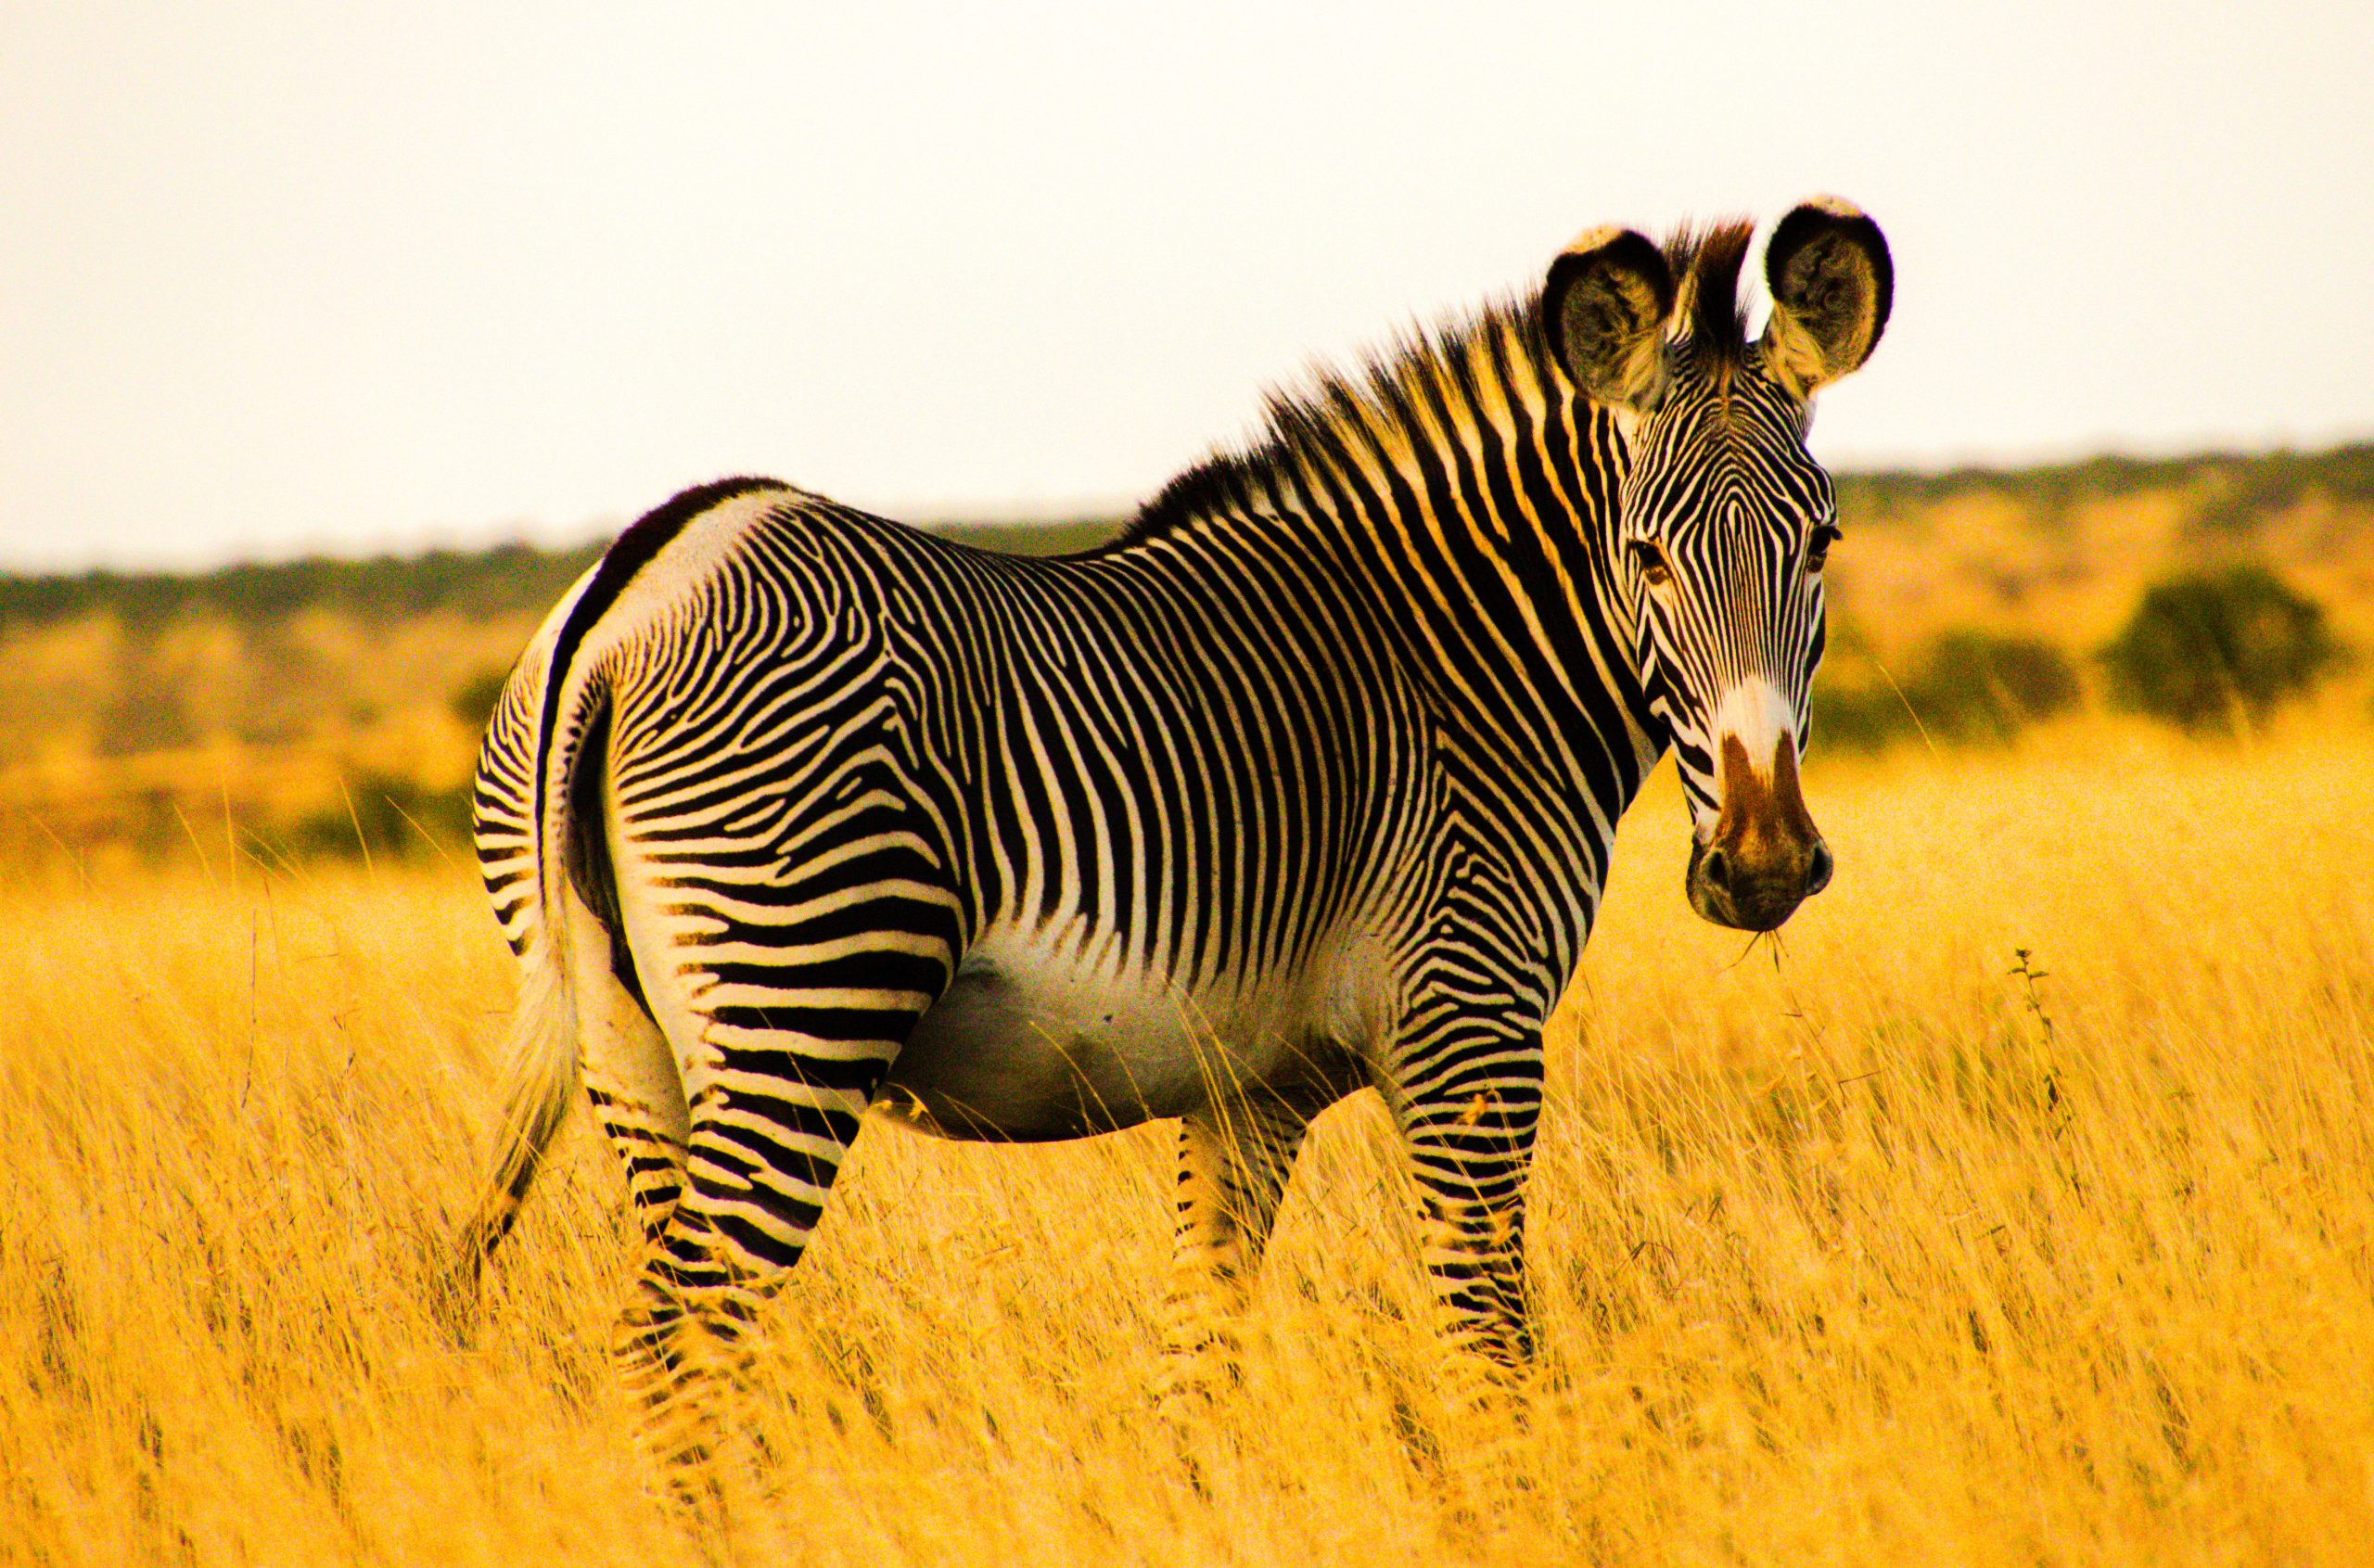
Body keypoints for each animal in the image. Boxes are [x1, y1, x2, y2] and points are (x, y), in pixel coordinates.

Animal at [453, 198, 1892, 1465]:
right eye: (1643, 555)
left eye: (1822, 543)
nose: (1765, 863)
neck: (1453, 660)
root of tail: (628, 591)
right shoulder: (1467, 1027)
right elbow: (1490, 1353)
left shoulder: (1246, 1088)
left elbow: (1197, 1360)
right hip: (798, 993)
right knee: (684, 1344)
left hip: (630, 1047)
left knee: (669, 1338)